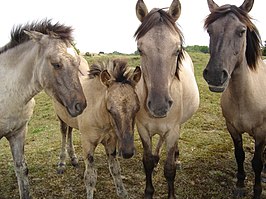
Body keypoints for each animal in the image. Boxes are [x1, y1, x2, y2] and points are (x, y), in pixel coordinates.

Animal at [53, 58, 142, 198]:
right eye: (110, 109)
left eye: (137, 108)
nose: (127, 153)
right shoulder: (87, 143)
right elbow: (90, 177)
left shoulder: (111, 141)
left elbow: (115, 169)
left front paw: (122, 193)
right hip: (61, 117)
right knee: (64, 132)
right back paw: (61, 164)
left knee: (70, 131)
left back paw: (73, 159)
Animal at [135, 0, 200, 198]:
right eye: (139, 49)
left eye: (177, 49)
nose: (159, 106)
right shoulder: (142, 129)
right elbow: (147, 161)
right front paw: (148, 192)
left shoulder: (172, 130)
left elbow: (170, 169)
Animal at [202, 0, 266, 197]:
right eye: (210, 31)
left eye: (242, 31)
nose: (215, 75)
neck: (243, 98)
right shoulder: (232, 128)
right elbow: (240, 155)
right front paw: (239, 185)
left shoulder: (261, 132)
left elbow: (257, 162)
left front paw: (257, 190)